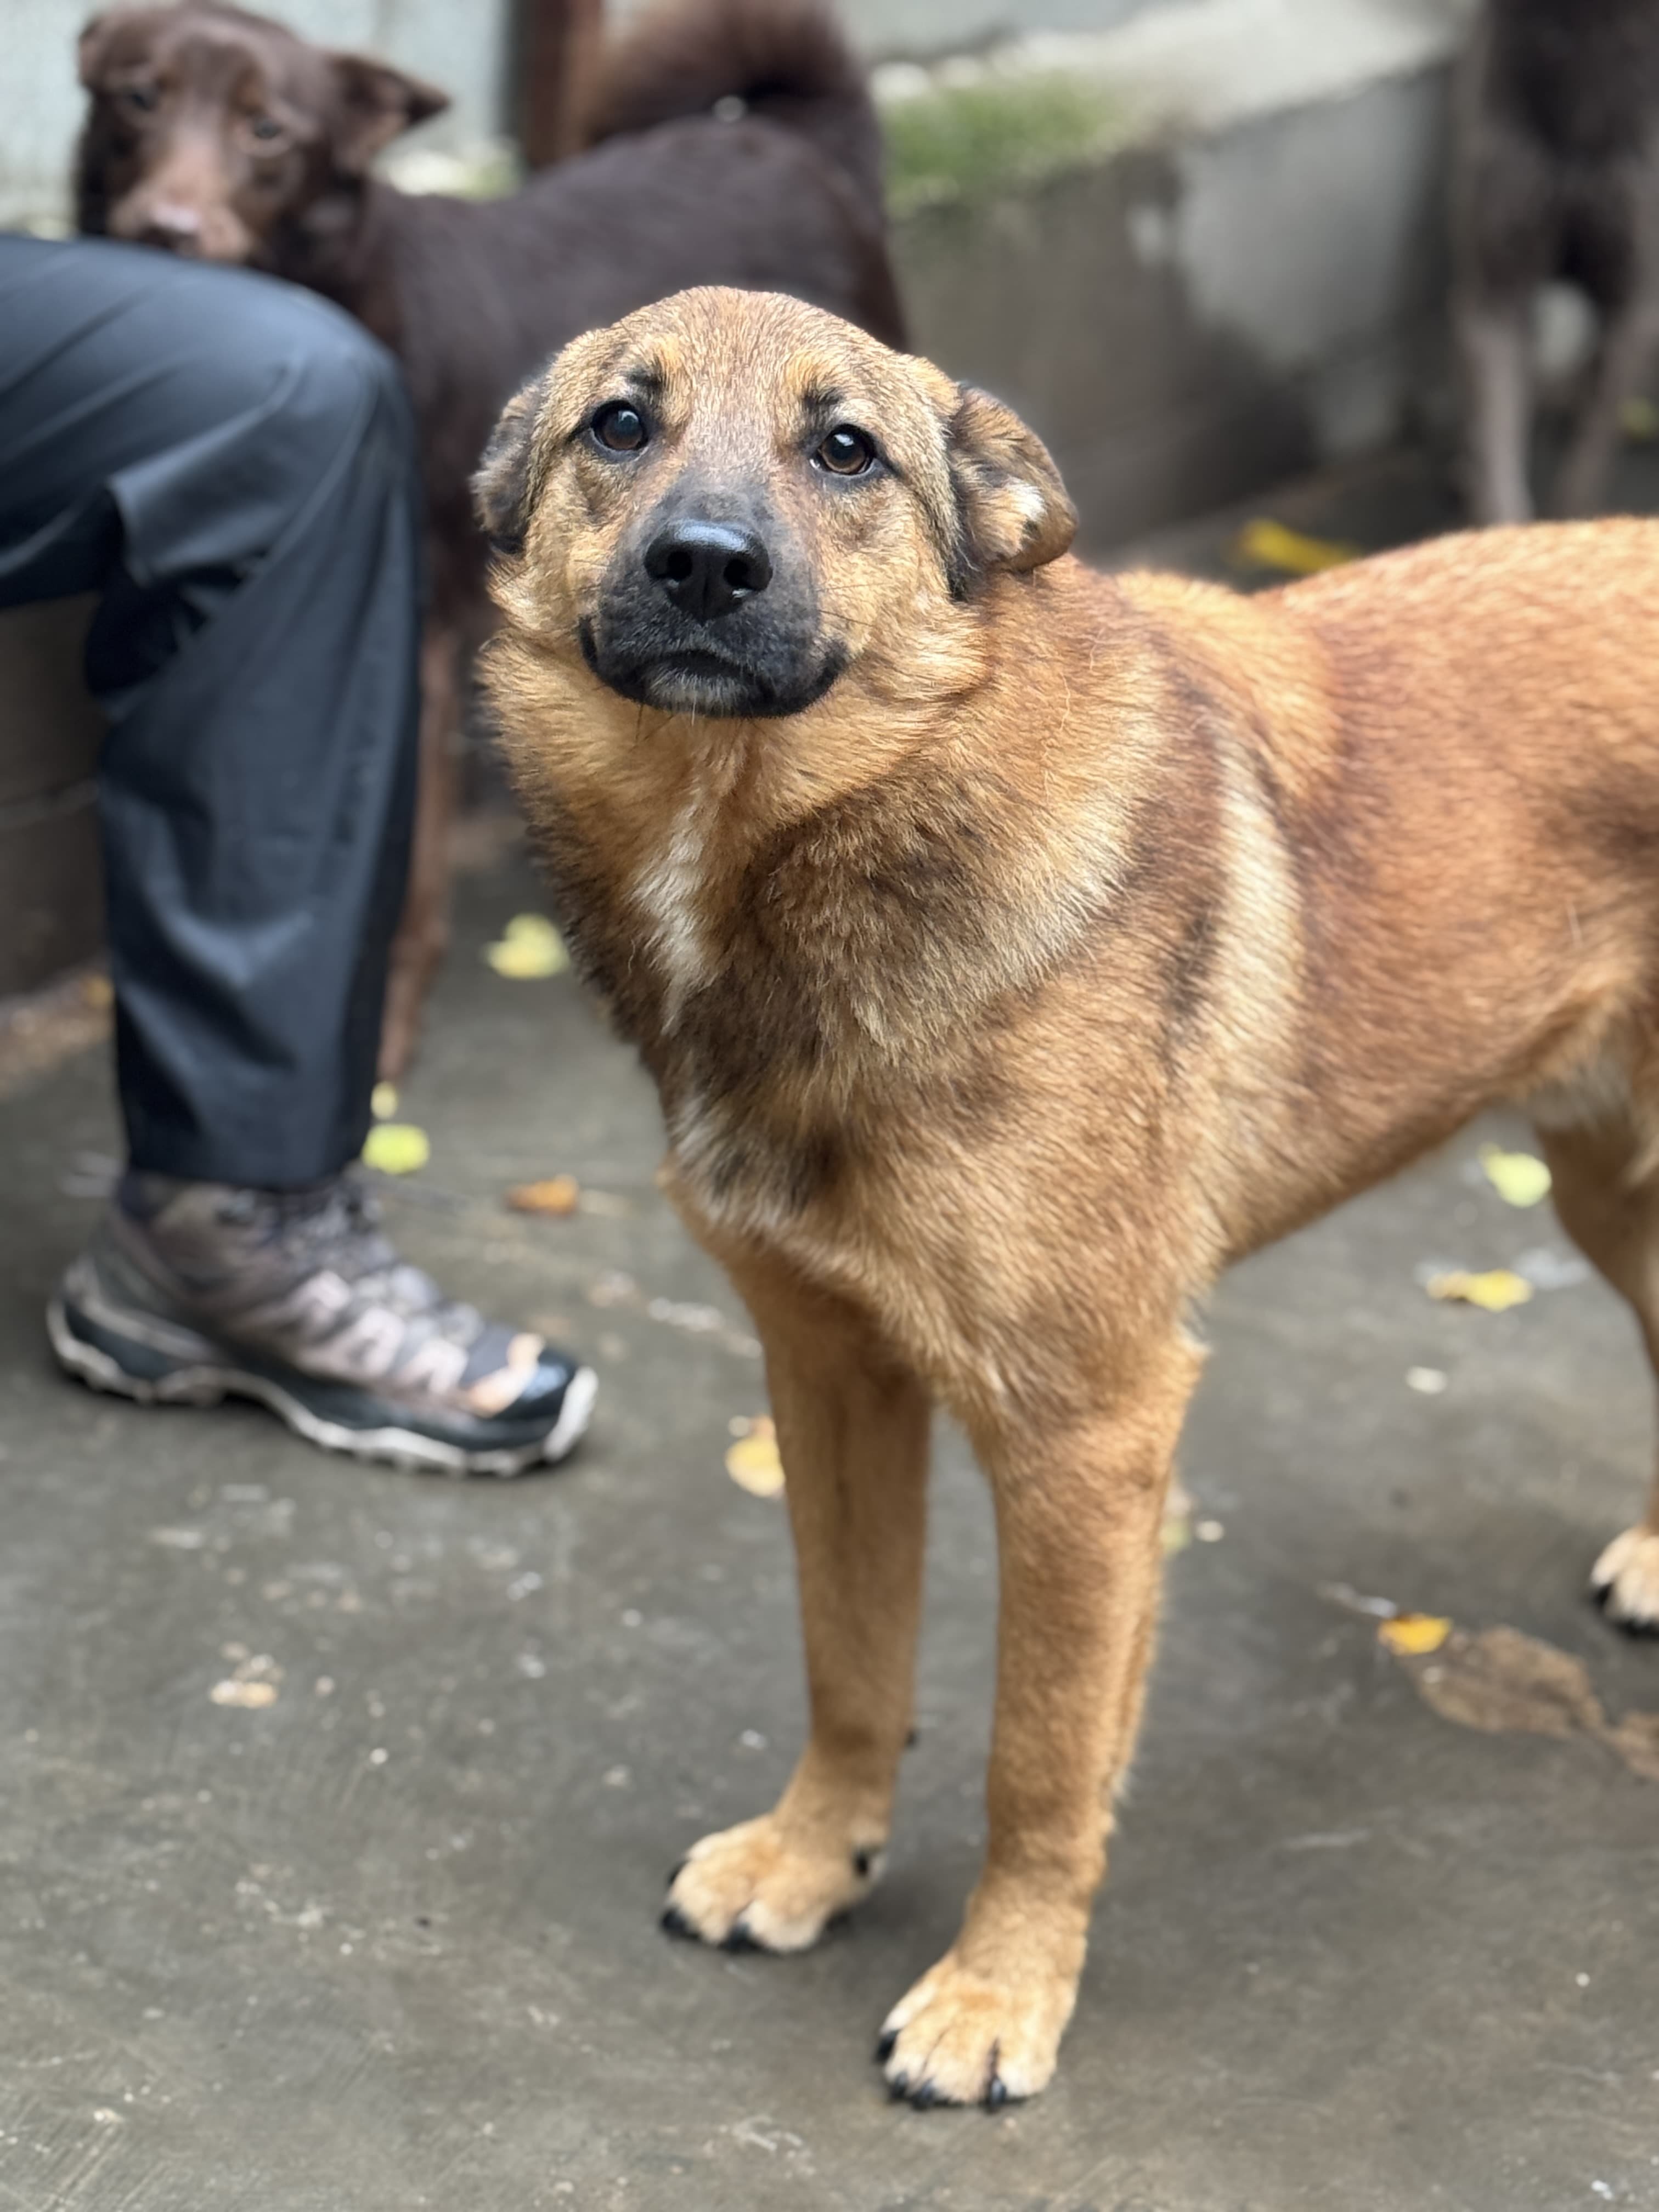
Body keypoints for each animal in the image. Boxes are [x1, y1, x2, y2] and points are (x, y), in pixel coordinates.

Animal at [76, 0, 903, 1074]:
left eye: (269, 132)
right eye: (139, 97)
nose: (165, 232)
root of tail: (791, 139)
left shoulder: (414, 640)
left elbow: (403, 874)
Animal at [474, 285, 1659, 2106]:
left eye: (847, 450)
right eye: (620, 423)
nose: (704, 565)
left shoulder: (1088, 1436)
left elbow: (1036, 1760)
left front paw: (999, 1993)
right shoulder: (829, 1375)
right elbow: (850, 1657)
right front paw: (813, 1858)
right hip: (1611, 1183)